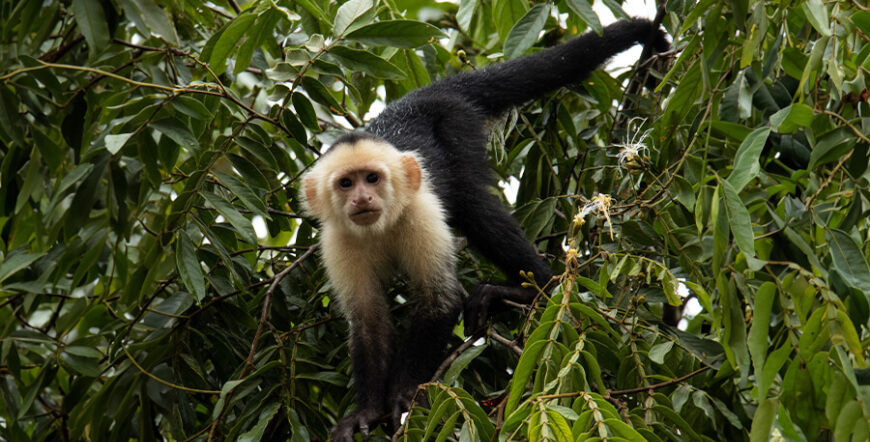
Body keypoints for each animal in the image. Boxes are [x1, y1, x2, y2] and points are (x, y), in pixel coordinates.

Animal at [304, 18, 672, 442]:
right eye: (346, 184)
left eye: (373, 179)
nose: (362, 199)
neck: (379, 227)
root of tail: (422, 96)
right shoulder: (337, 241)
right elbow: (368, 320)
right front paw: (366, 410)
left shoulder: (420, 214)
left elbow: (440, 300)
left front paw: (403, 396)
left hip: (455, 120)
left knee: (470, 201)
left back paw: (533, 287)